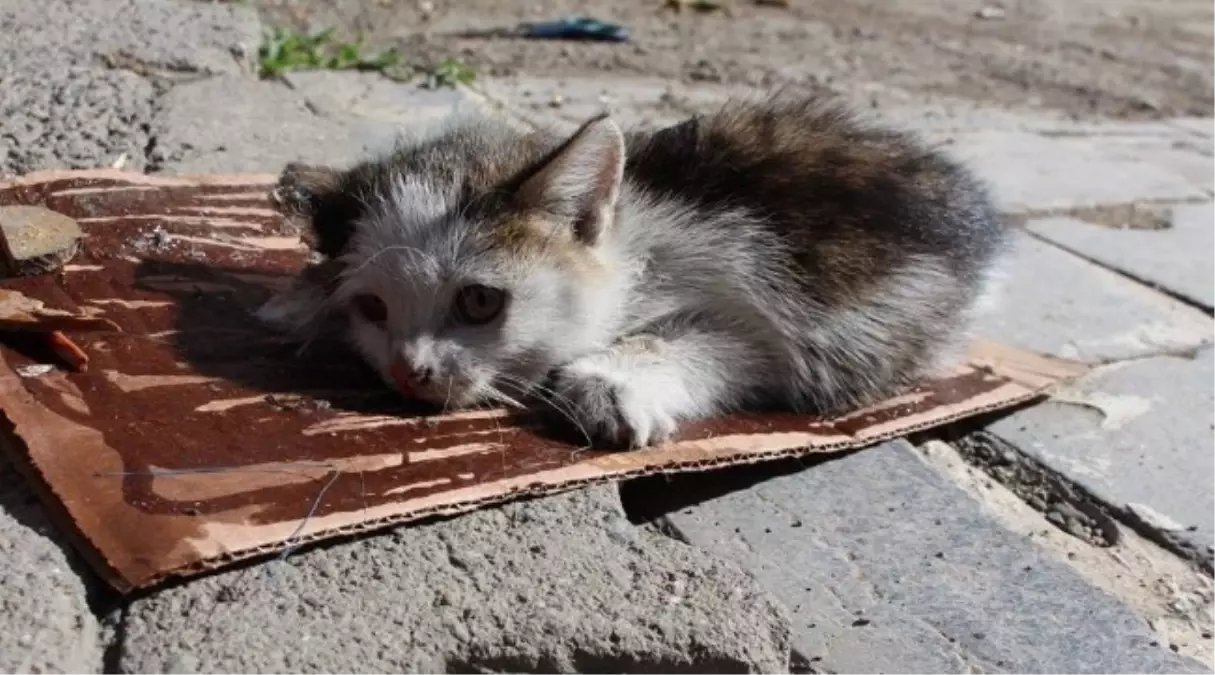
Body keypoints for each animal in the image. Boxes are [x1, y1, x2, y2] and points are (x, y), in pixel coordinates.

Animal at [261, 89, 1010, 449]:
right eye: (373, 309)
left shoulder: (799, 325)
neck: (639, 248)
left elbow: (733, 342)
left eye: (478, 301)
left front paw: (612, 382)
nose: (407, 370)